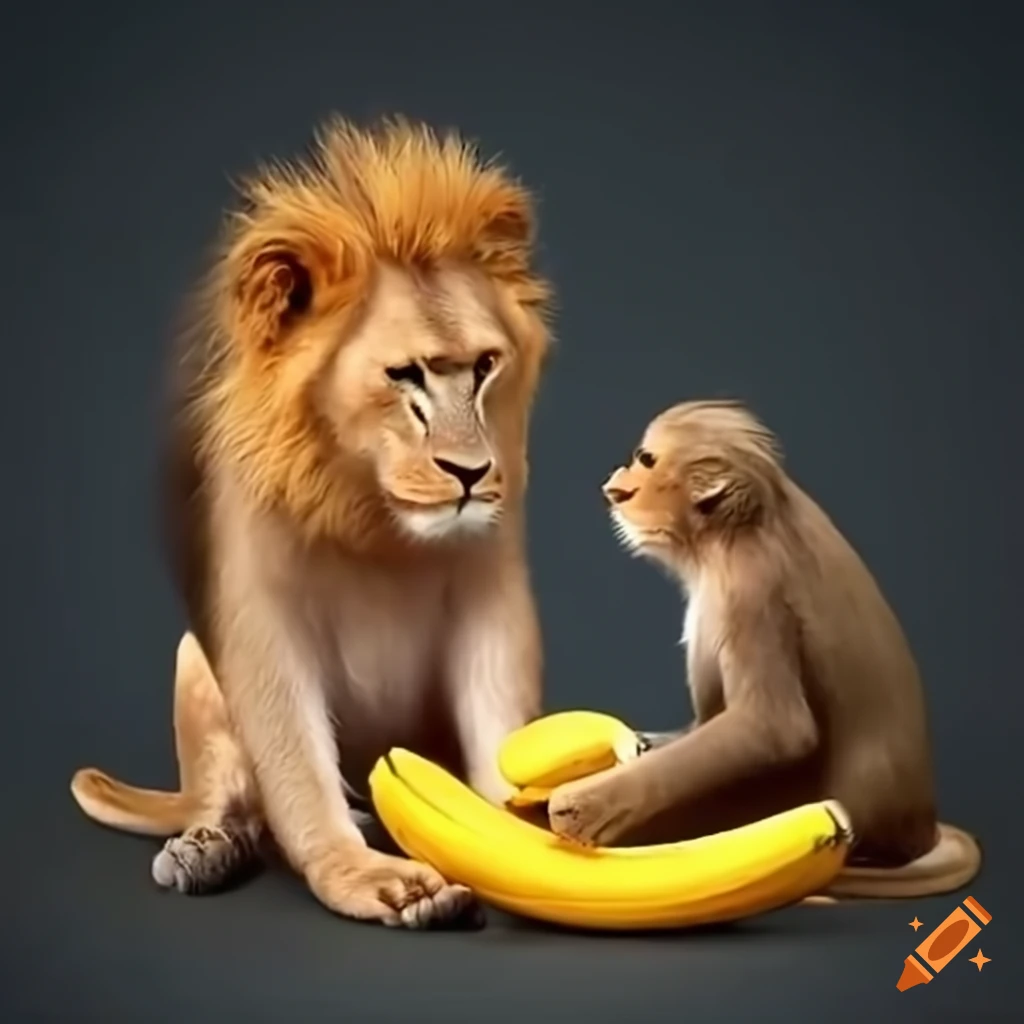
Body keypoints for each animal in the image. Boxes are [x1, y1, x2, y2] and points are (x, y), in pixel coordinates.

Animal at [70, 116, 554, 928]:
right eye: (404, 375)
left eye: (486, 365)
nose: (472, 473)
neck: (375, 524)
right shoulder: (261, 619)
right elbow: (296, 769)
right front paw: (374, 879)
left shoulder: (492, 595)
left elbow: (502, 727)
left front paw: (525, 837)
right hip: (193, 661)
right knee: (233, 805)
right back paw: (201, 853)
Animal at [547, 400, 981, 899]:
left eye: (647, 460)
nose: (617, 484)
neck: (736, 527)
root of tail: (921, 832)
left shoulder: (748, 590)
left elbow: (775, 728)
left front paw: (590, 806)